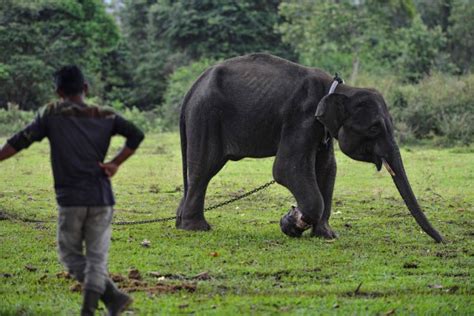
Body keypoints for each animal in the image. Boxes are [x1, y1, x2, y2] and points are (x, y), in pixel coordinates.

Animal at [174, 53, 444, 243]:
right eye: (375, 128)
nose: (441, 240)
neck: (339, 88)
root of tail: (191, 89)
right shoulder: (301, 117)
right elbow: (286, 169)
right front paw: (291, 223)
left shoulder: (321, 129)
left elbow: (327, 169)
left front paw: (323, 234)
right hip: (207, 116)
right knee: (204, 168)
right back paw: (197, 228)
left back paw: (180, 223)